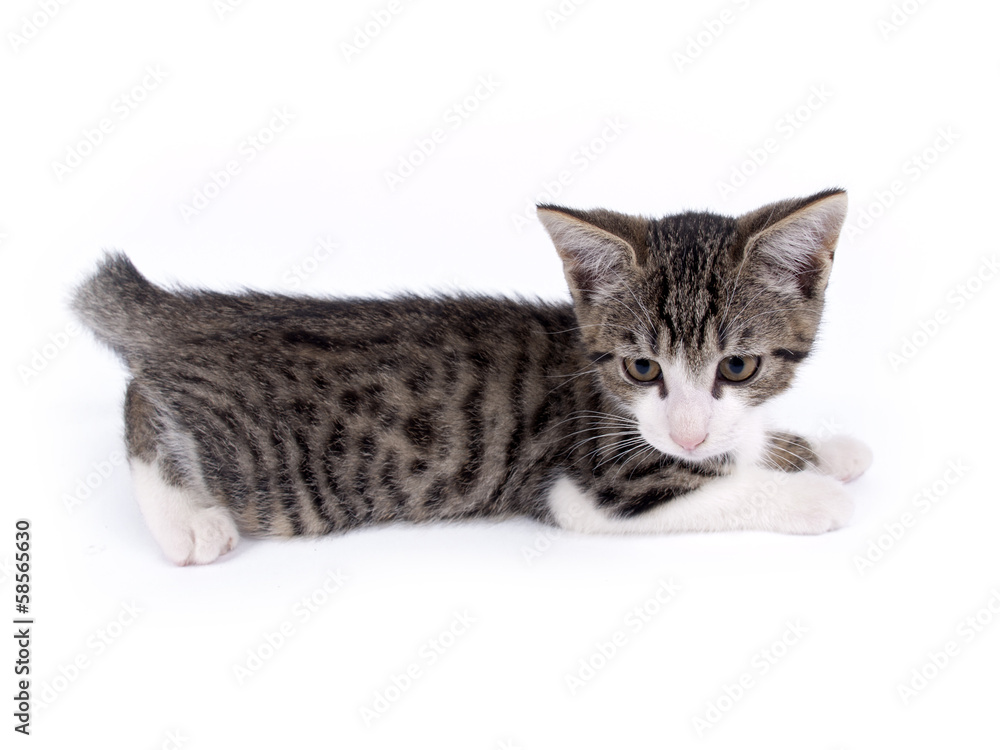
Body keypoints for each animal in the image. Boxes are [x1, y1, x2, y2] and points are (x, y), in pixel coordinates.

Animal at [76, 191, 876, 568]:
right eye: (641, 367)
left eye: (737, 366)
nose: (687, 433)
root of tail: (205, 314)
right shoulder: (587, 486)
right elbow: (722, 486)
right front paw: (814, 495)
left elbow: (746, 442)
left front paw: (824, 449)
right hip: (267, 469)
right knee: (140, 393)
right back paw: (187, 519)